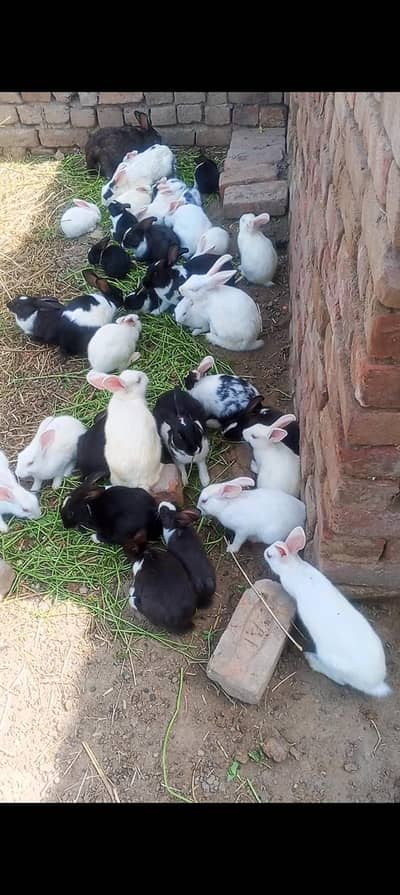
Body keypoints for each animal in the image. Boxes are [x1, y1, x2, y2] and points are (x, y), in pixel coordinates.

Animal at [264, 527, 391, 697]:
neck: (294, 567)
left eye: (270, 555)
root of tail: (375, 683)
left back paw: (312, 660)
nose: (264, 551)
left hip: (332, 662)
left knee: (339, 680)